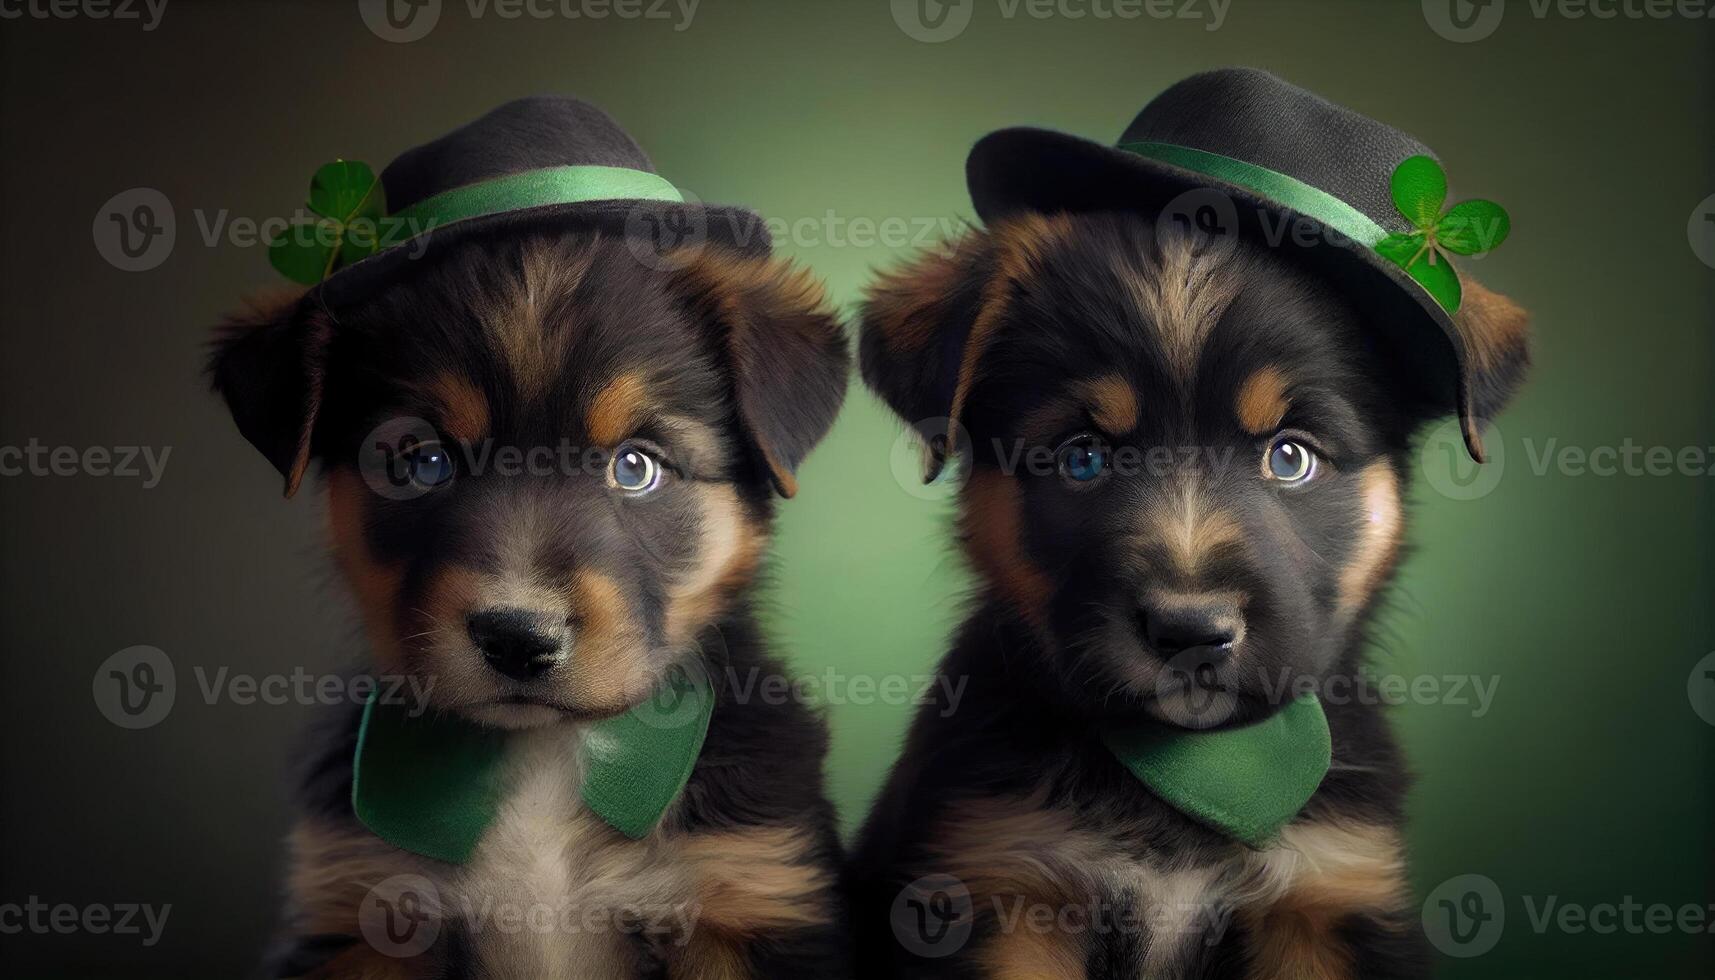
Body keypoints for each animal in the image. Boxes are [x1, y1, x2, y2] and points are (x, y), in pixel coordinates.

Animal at [210, 95, 854, 974]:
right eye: (422, 461)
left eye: (635, 466)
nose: (519, 637)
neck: (547, 762)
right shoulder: (360, 914)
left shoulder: (745, 894)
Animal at [850, 70, 1522, 980]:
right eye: (1082, 457)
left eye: (1290, 457)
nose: (1190, 631)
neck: (1194, 768)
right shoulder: (1002, 884)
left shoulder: (1328, 894)